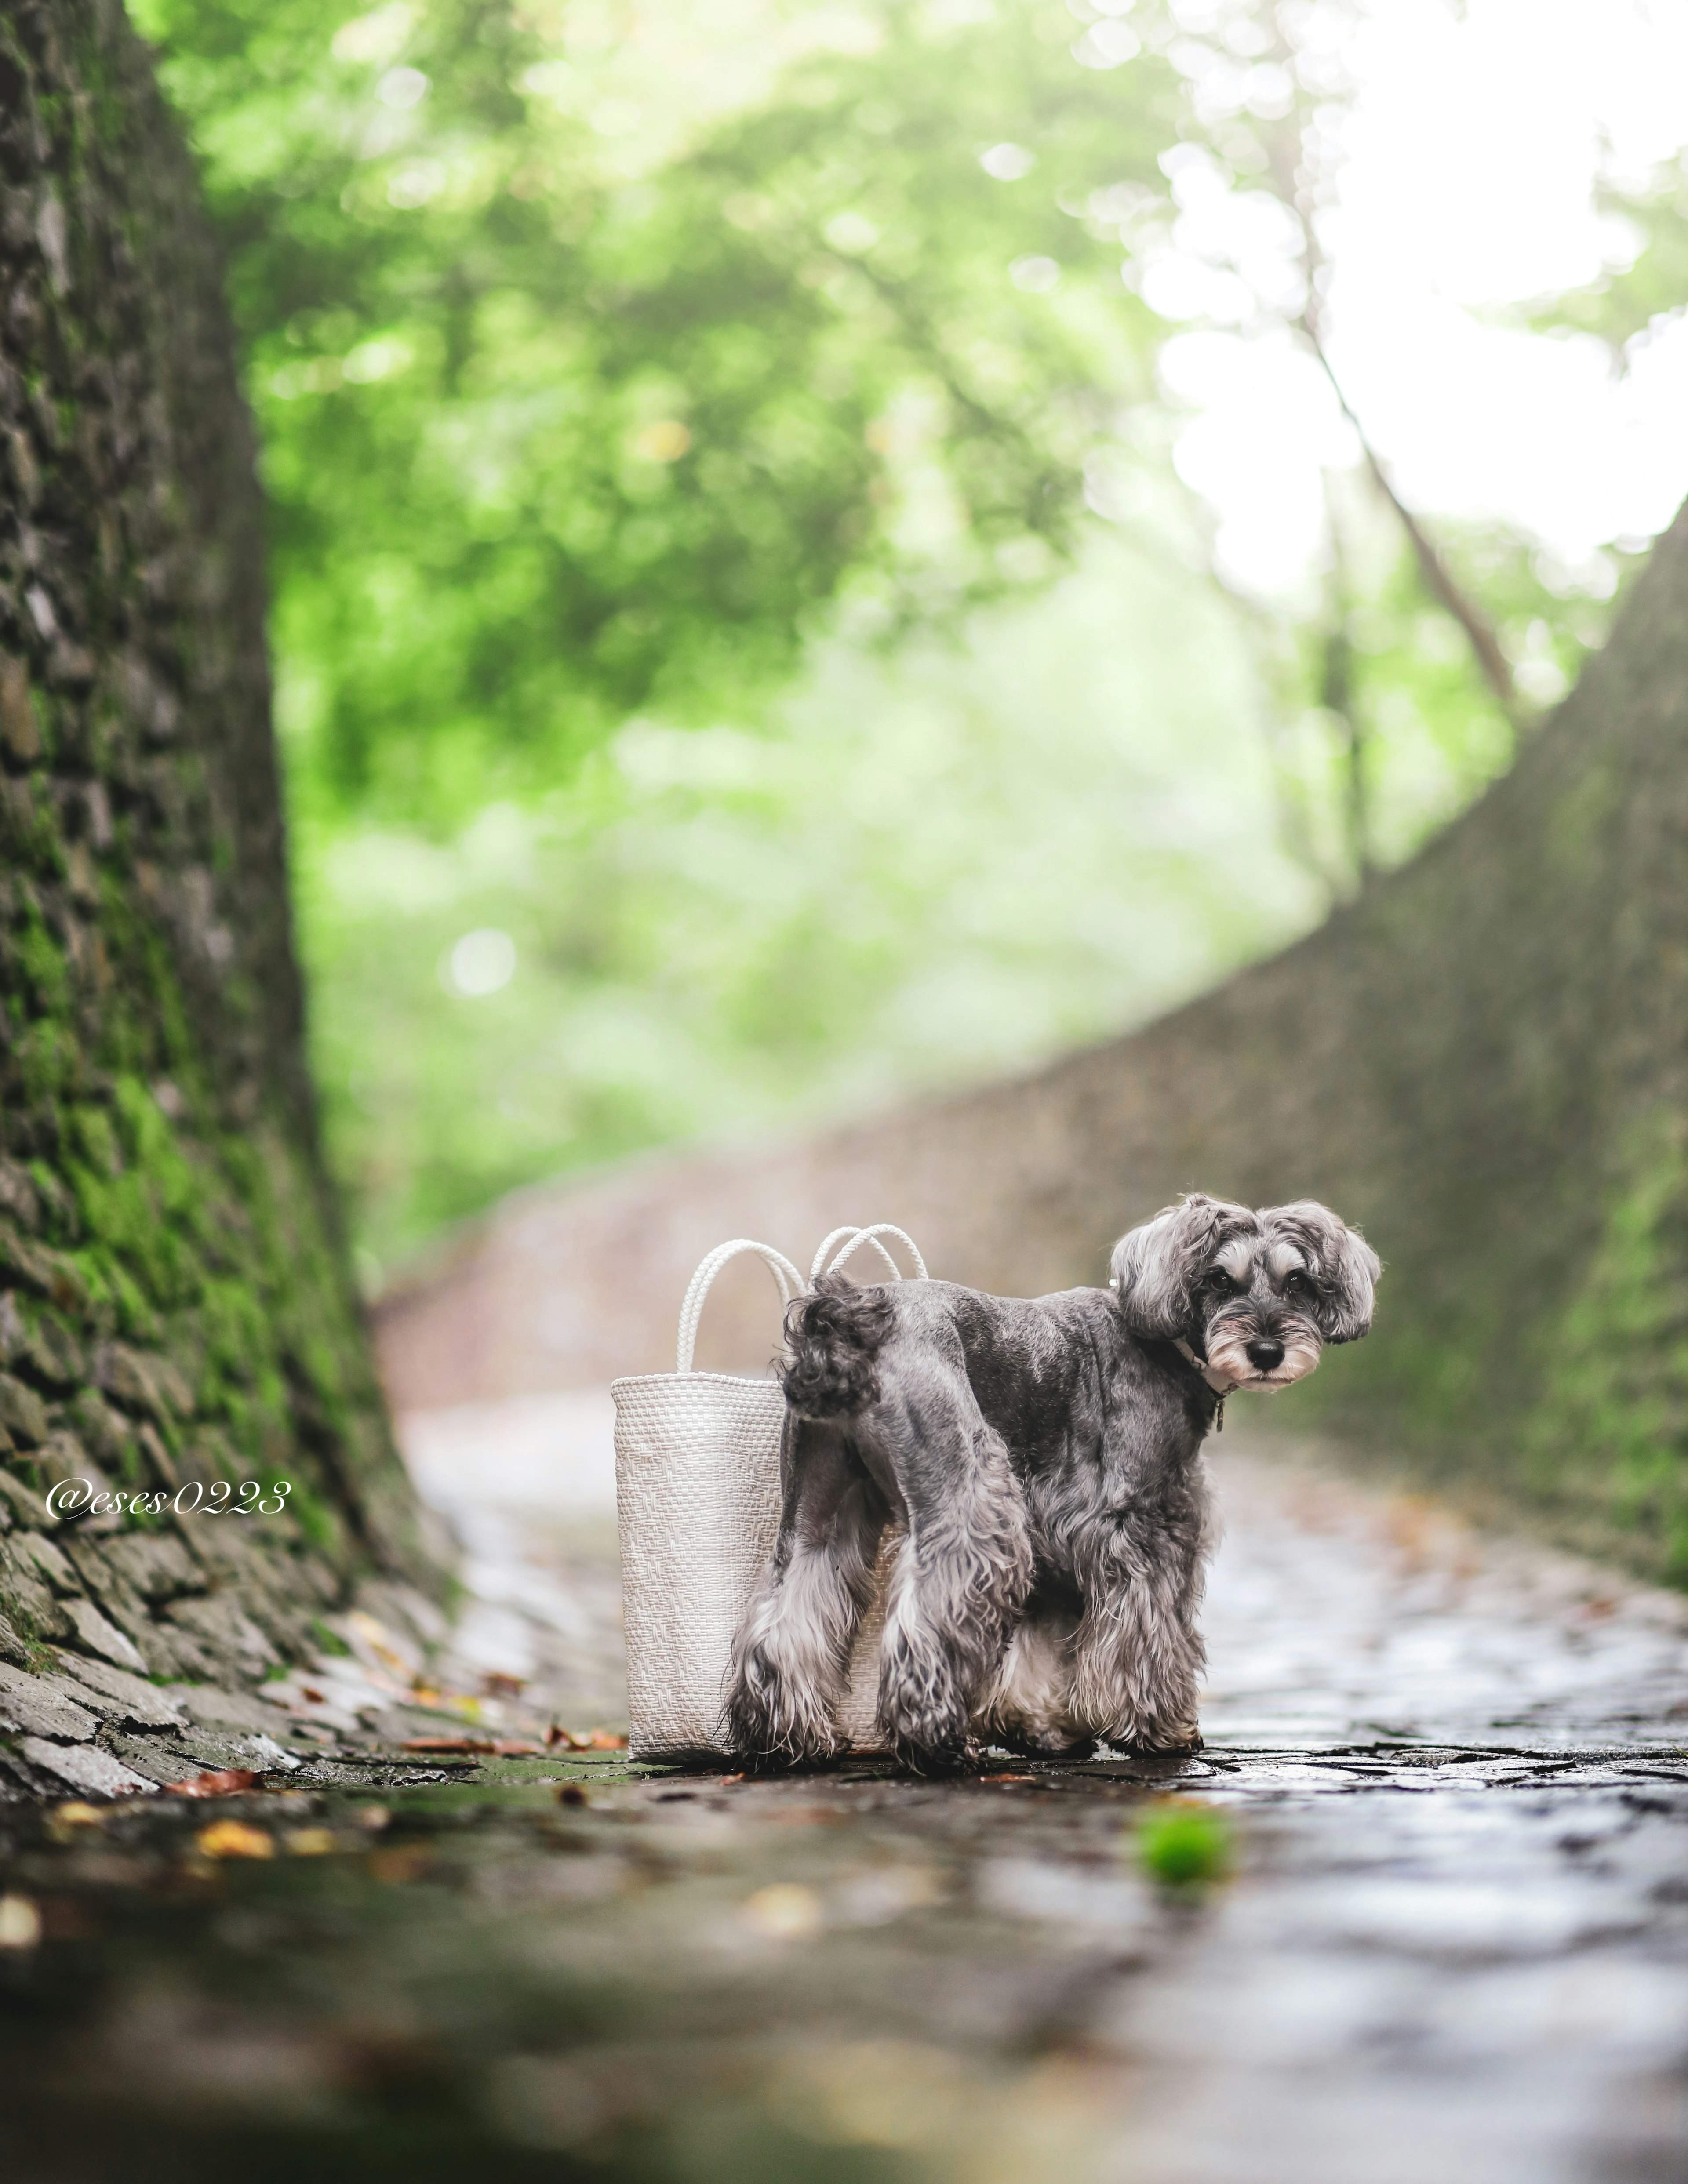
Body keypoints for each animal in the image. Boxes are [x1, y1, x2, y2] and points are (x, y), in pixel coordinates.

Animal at [716, 1197, 1380, 1773]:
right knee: (926, 1621)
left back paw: (785, 1738)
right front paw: (1161, 1729)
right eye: (1219, 1279)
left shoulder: (1061, 1540)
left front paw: (1040, 1727)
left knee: (787, 1612)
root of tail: (854, 1320)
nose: (1267, 1350)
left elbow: (1042, 1641)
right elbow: (1153, 1634)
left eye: (1298, 1282)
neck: (1164, 1344)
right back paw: (938, 1742)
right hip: (974, 1508)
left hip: (818, 1513)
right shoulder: (1143, 1529)